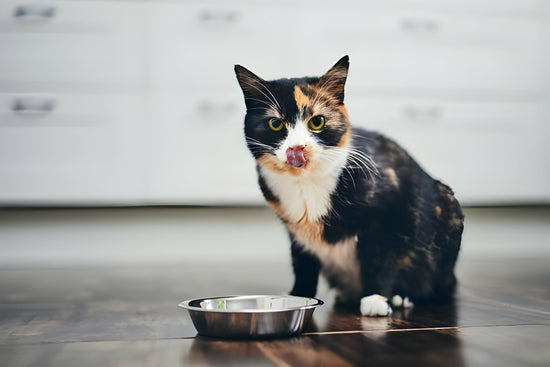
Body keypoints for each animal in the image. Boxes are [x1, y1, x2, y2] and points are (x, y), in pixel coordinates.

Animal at [235, 56, 464, 318]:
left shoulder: (388, 212)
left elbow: (379, 256)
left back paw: (403, 297)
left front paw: (376, 298)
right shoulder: (296, 232)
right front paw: (298, 296)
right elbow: (303, 263)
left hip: (445, 209)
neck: (306, 182)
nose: (297, 147)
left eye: (317, 121)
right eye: (275, 123)